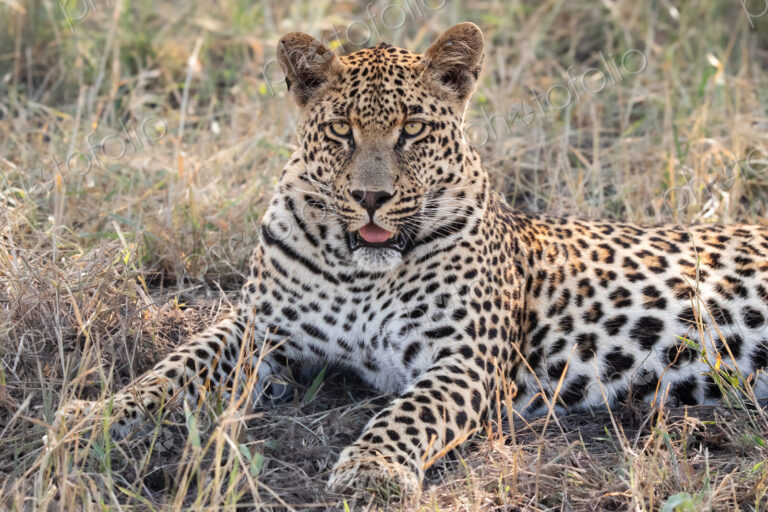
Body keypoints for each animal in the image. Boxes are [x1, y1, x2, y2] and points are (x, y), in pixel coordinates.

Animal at [55, 22, 768, 500]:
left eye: (413, 132)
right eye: (341, 130)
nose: (371, 197)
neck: (358, 273)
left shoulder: (465, 356)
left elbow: (409, 411)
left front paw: (371, 469)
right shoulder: (258, 328)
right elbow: (173, 366)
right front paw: (95, 417)